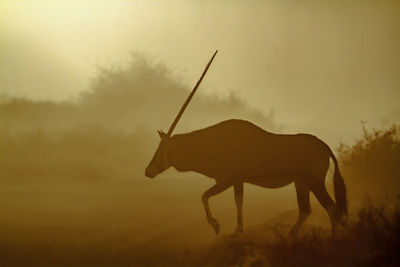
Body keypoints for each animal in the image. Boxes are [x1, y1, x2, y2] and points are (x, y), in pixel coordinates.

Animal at [145, 50, 346, 237]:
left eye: (160, 149)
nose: (148, 171)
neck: (210, 143)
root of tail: (324, 146)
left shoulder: (227, 180)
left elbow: (205, 196)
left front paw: (218, 226)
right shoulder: (236, 181)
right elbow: (237, 201)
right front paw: (237, 230)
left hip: (315, 182)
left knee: (331, 208)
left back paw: (334, 238)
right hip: (301, 183)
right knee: (306, 210)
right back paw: (292, 234)